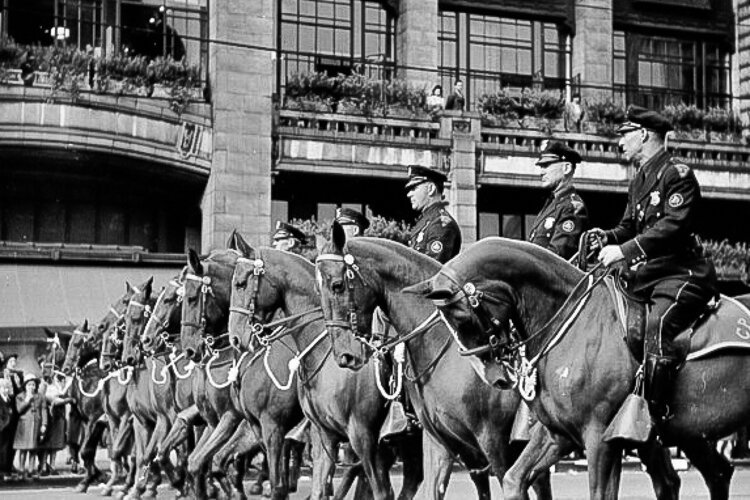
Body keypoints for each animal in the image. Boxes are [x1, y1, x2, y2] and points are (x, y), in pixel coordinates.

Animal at [226, 236, 426, 500]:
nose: (235, 337)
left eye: (240, 284)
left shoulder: (361, 436)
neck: (324, 352)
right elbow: (319, 488)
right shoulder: (322, 435)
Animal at [314, 226, 556, 500]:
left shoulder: (494, 440)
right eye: (318, 290)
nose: (344, 355)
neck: (444, 340)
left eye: (337, 285)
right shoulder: (438, 441)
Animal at [414, 237, 748, 500]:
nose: (496, 378)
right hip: (694, 432)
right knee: (715, 474)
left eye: (461, 318)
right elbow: (513, 480)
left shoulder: (599, 437)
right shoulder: (557, 433)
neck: (570, 322)